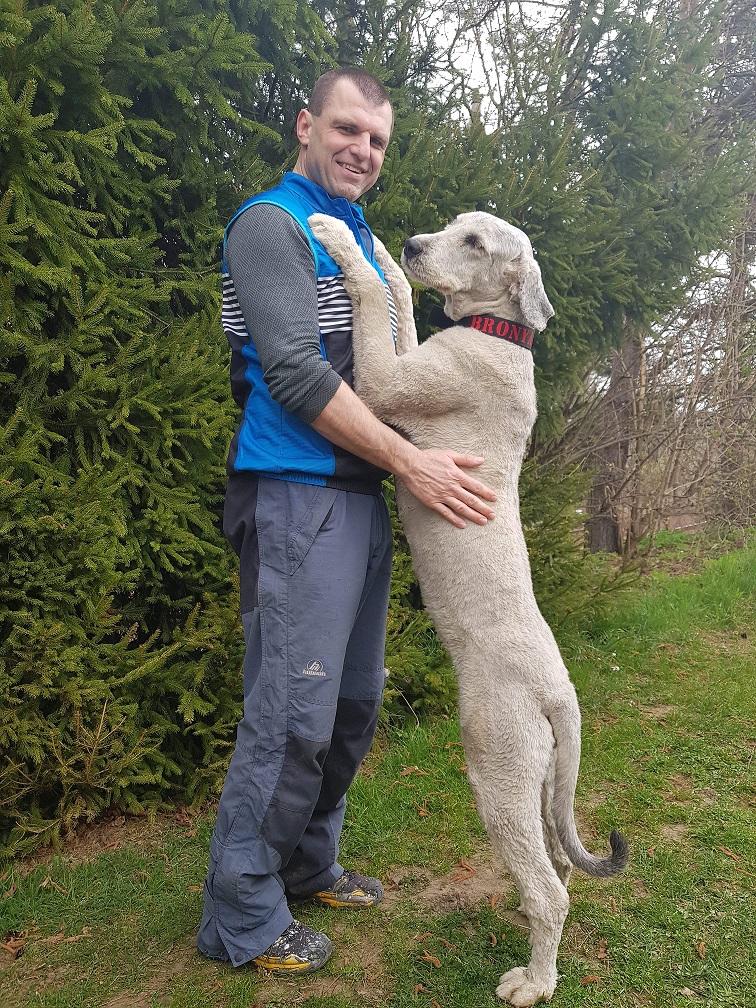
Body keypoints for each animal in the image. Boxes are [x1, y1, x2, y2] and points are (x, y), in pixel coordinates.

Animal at [308, 211, 628, 1006]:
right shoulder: (406, 360)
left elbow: (371, 298)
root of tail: (558, 692)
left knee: (552, 890)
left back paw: (532, 982)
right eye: (452, 228)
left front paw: (341, 237)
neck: (500, 333)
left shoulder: (386, 384)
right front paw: (379, 247)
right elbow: (393, 290)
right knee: (558, 863)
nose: (418, 242)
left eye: (477, 243)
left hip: (499, 773)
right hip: (540, 782)